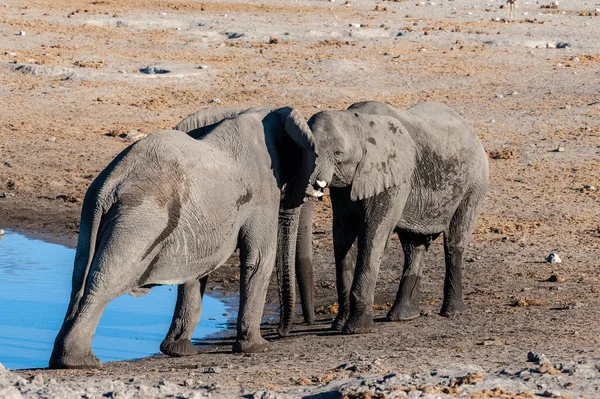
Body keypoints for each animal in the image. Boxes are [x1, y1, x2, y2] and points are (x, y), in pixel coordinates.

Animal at [48, 105, 316, 368]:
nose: (282, 332)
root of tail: (110, 184)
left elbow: (197, 270)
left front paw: (179, 351)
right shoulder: (263, 190)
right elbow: (259, 259)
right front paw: (258, 348)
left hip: (92, 210)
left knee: (79, 276)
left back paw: (64, 359)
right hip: (141, 217)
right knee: (107, 279)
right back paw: (80, 362)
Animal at [278, 101, 490, 338]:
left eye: (338, 154)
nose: (282, 332)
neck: (357, 120)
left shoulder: (392, 178)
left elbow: (373, 236)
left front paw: (356, 329)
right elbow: (342, 238)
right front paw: (338, 325)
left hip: (475, 183)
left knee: (454, 240)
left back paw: (452, 312)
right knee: (413, 246)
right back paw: (403, 316)